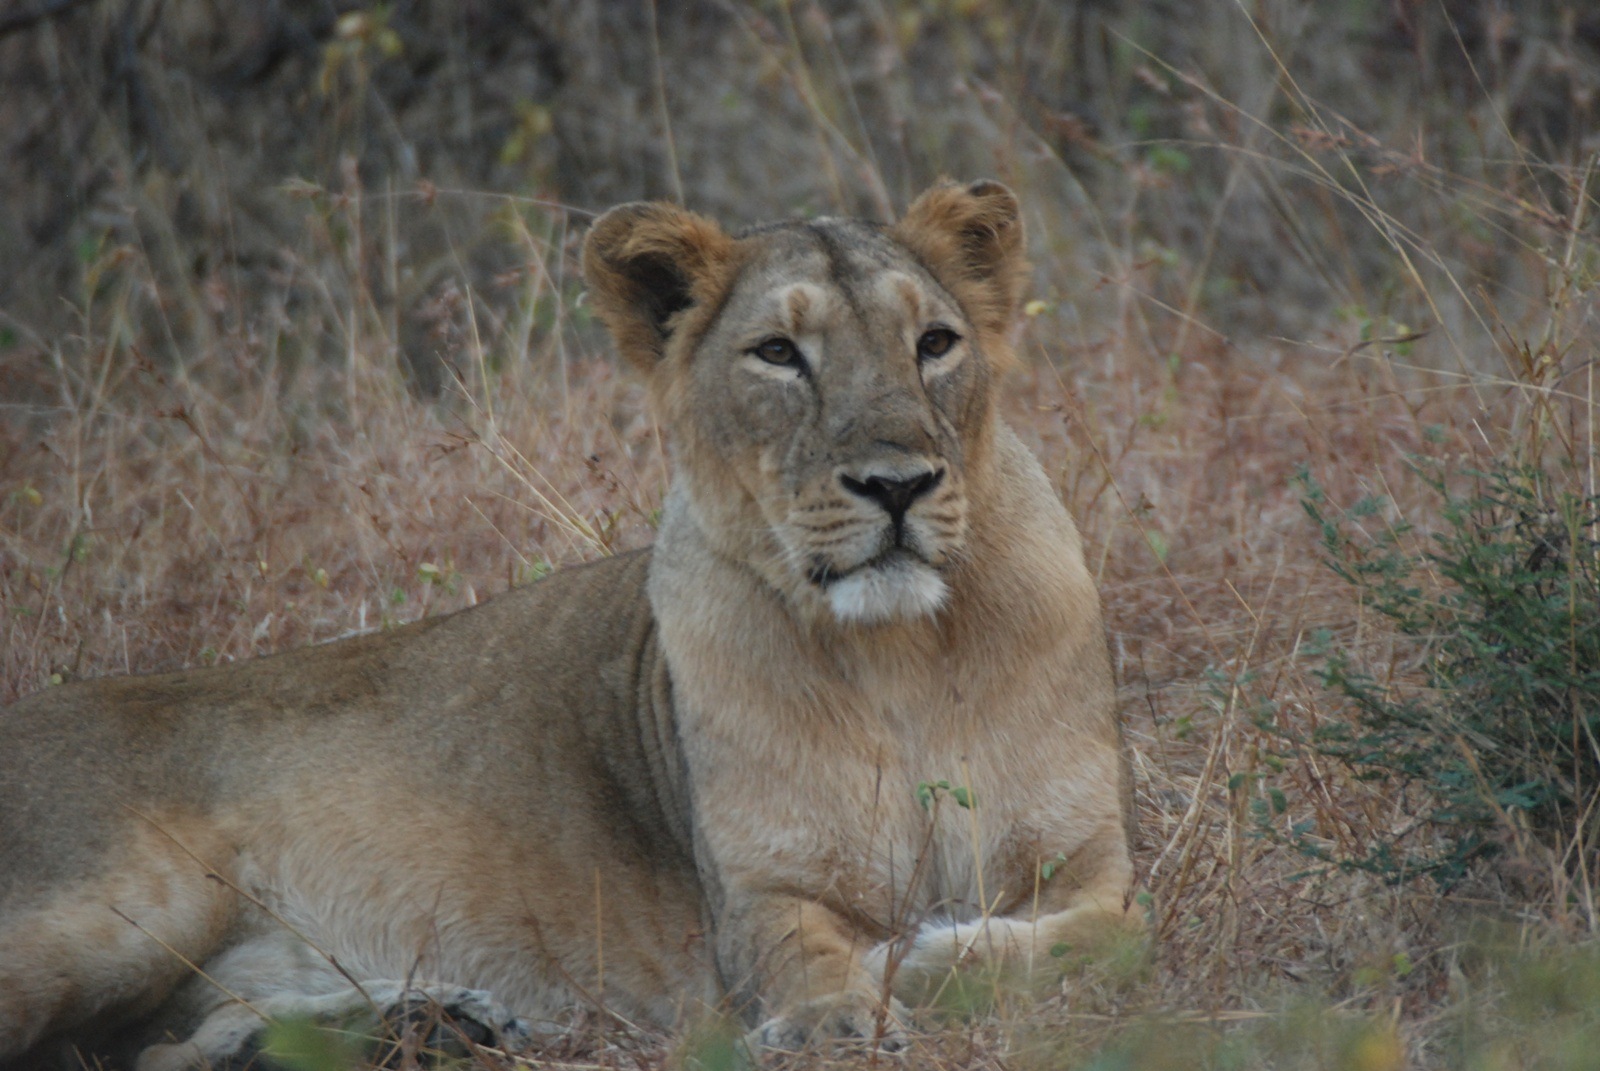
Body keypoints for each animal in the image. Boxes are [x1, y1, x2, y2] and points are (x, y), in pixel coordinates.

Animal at [0, 180, 1137, 1069]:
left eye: (934, 343)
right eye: (778, 353)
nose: (897, 485)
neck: (903, 654)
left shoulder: (1092, 857)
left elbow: (1110, 932)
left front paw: (934, 951)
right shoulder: (753, 893)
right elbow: (800, 953)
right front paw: (838, 1011)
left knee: (153, 1049)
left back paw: (433, 1024)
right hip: (115, 907)